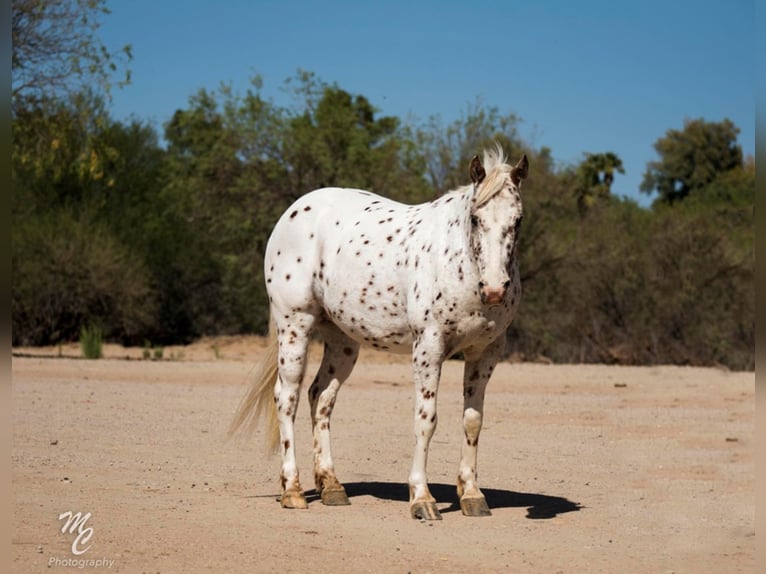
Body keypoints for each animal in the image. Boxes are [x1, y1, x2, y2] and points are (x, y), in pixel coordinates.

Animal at [231, 145, 532, 520]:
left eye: (517, 220)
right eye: (476, 218)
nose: (493, 290)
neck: (458, 260)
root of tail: (294, 212)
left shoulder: (485, 353)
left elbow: (473, 421)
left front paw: (472, 495)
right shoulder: (429, 348)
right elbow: (426, 420)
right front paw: (421, 498)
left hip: (342, 343)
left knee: (320, 397)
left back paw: (331, 486)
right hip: (294, 326)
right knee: (287, 399)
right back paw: (293, 490)